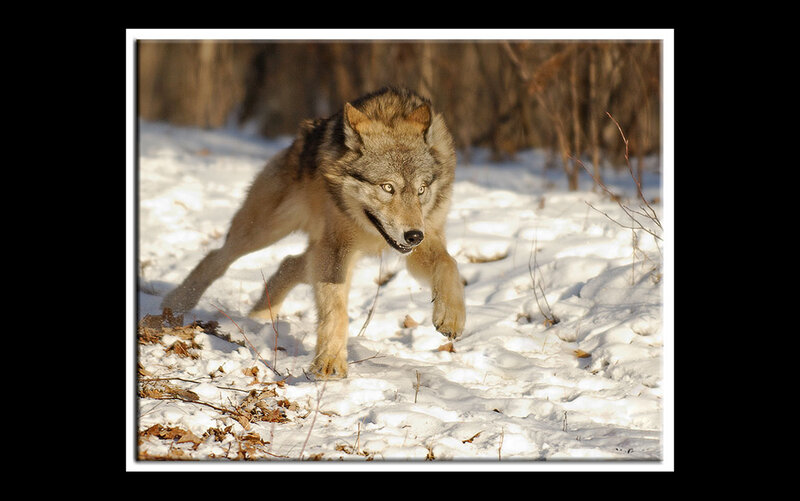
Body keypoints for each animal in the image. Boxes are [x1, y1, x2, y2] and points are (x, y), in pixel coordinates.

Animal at [161, 87, 466, 378]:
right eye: (387, 187)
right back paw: (176, 305)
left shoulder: (425, 236)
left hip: (322, 250)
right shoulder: (336, 248)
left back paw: (259, 317)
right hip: (266, 230)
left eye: (421, 189)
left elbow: (448, 263)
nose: (414, 236)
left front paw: (451, 316)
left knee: (290, 262)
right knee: (218, 257)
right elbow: (337, 311)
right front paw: (330, 362)